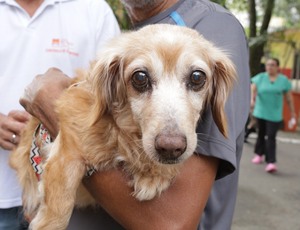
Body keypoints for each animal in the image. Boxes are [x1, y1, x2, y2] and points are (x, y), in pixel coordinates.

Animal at [9, 24, 236, 229]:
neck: (125, 134)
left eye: (197, 77)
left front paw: (153, 176)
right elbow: (58, 209)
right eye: (140, 77)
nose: (171, 147)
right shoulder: (68, 144)